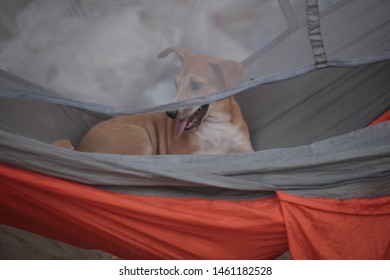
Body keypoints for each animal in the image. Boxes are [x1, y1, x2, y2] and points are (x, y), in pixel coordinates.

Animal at [54, 46, 253, 154]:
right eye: (175, 84)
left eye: (196, 85)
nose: (170, 113)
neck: (217, 125)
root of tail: (82, 147)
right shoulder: (185, 153)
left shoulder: (244, 149)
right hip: (140, 139)